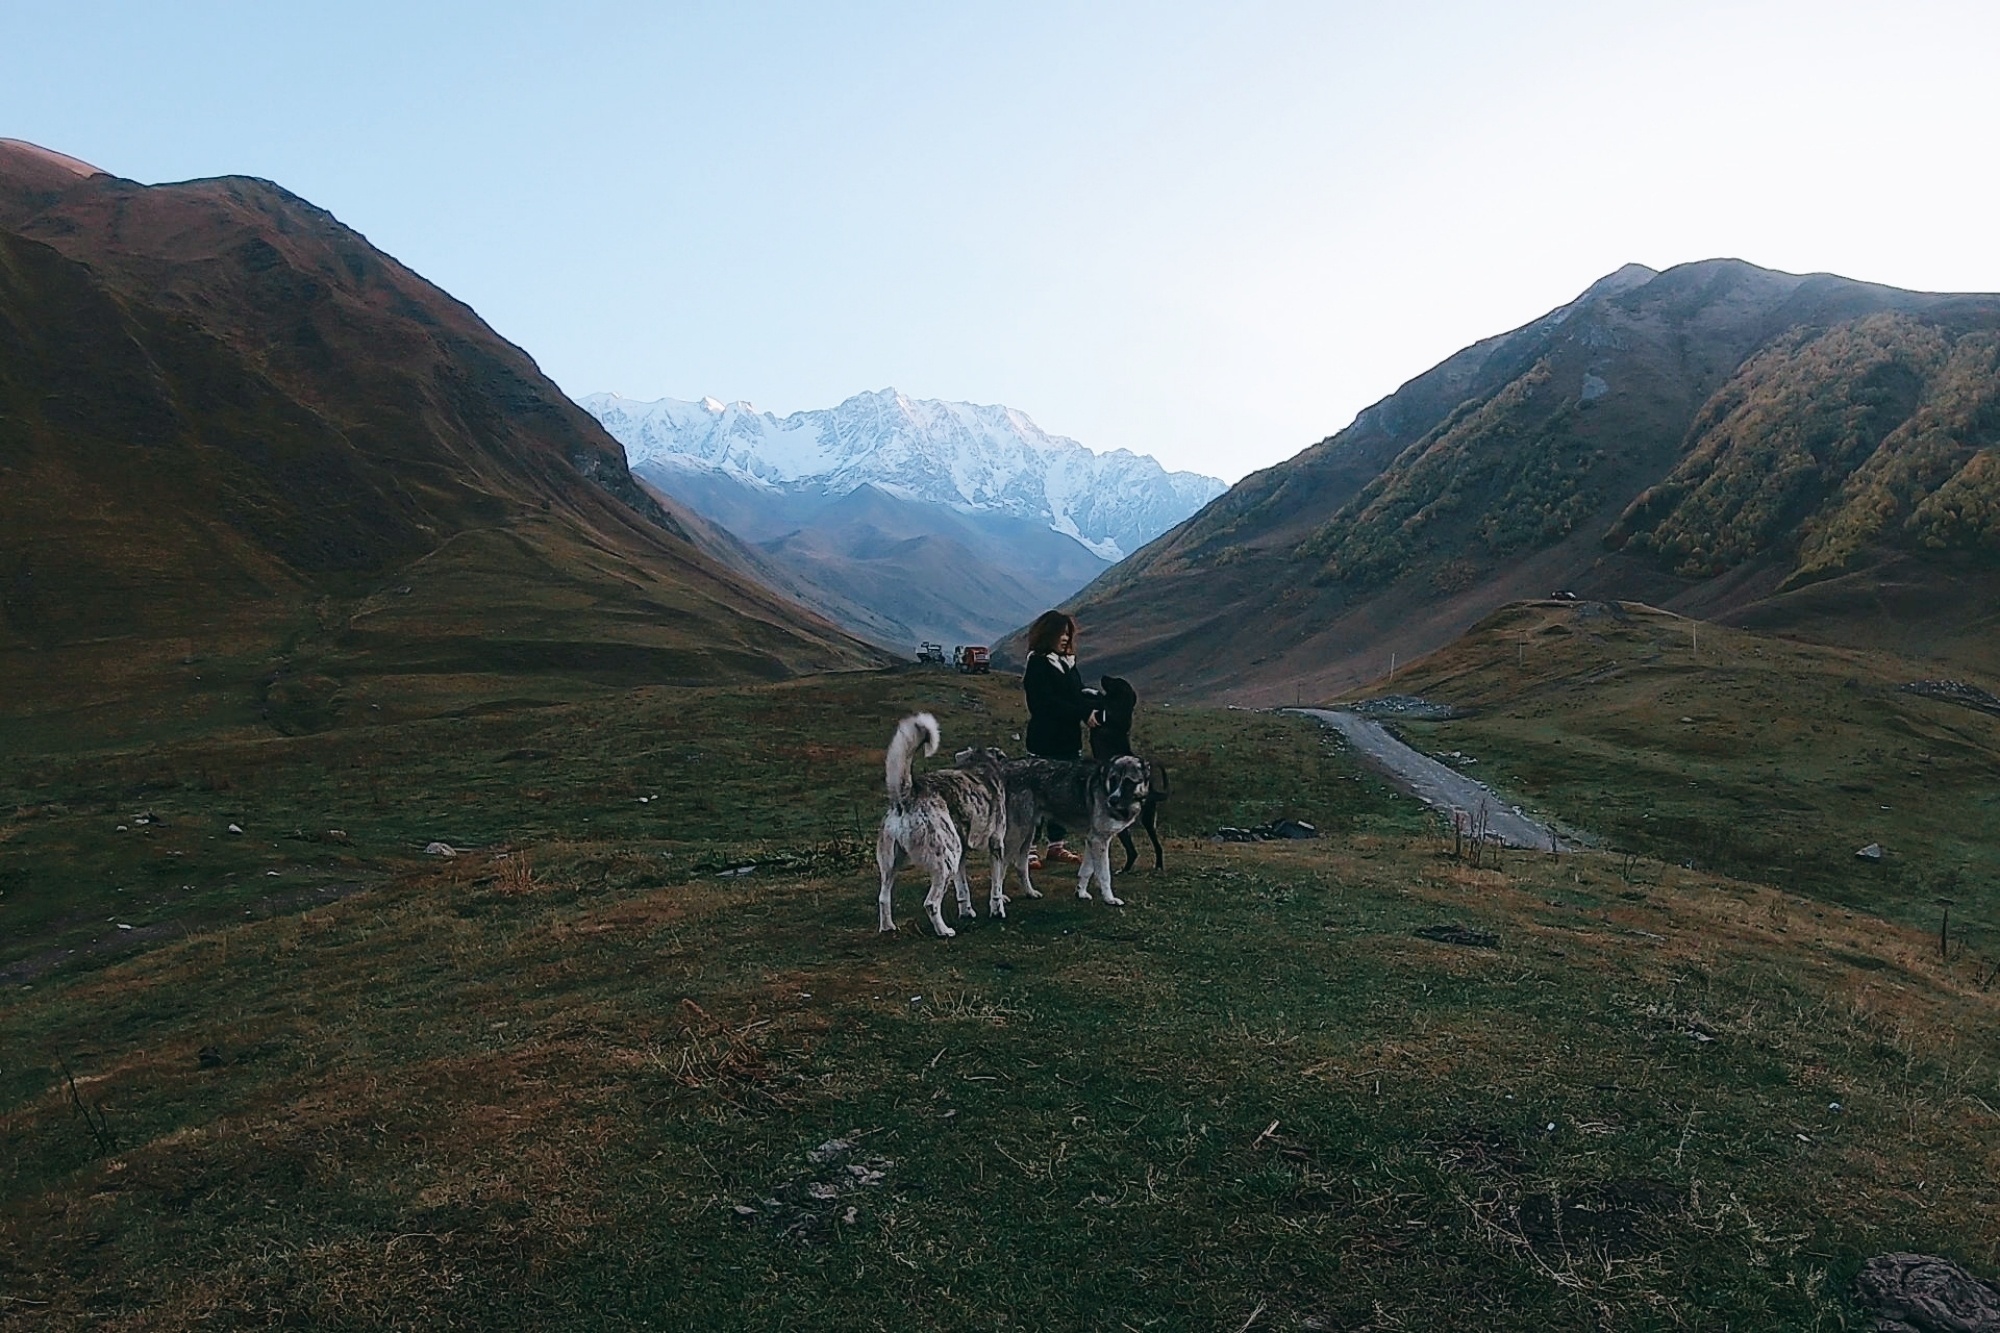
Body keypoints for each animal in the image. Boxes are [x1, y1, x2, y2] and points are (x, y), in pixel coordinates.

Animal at [876, 716, 1008, 932]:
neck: (979, 763)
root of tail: (908, 795)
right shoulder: (996, 845)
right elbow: (996, 887)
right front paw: (998, 912)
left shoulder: (962, 854)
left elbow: (963, 889)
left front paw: (966, 912)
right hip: (946, 861)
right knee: (931, 903)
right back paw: (944, 931)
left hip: (892, 865)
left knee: (883, 898)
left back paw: (888, 927)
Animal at [996, 748, 1152, 904]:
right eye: (1113, 780)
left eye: (1128, 782)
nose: (1112, 800)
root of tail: (1003, 767)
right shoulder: (1099, 840)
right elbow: (1104, 875)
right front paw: (1110, 899)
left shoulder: (1092, 840)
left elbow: (1086, 871)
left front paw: (1081, 893)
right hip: (1017, 835)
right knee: (1000, 868)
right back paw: (1000, 898)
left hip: (1028, 833)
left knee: (1020, 867)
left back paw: (1030, 892)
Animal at [1096, 676, 1168, 872]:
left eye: (1115, 681)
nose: (1103, 676)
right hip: (1148, 820)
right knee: (1155, 847)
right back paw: (1156, 866)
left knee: (1134, 850)